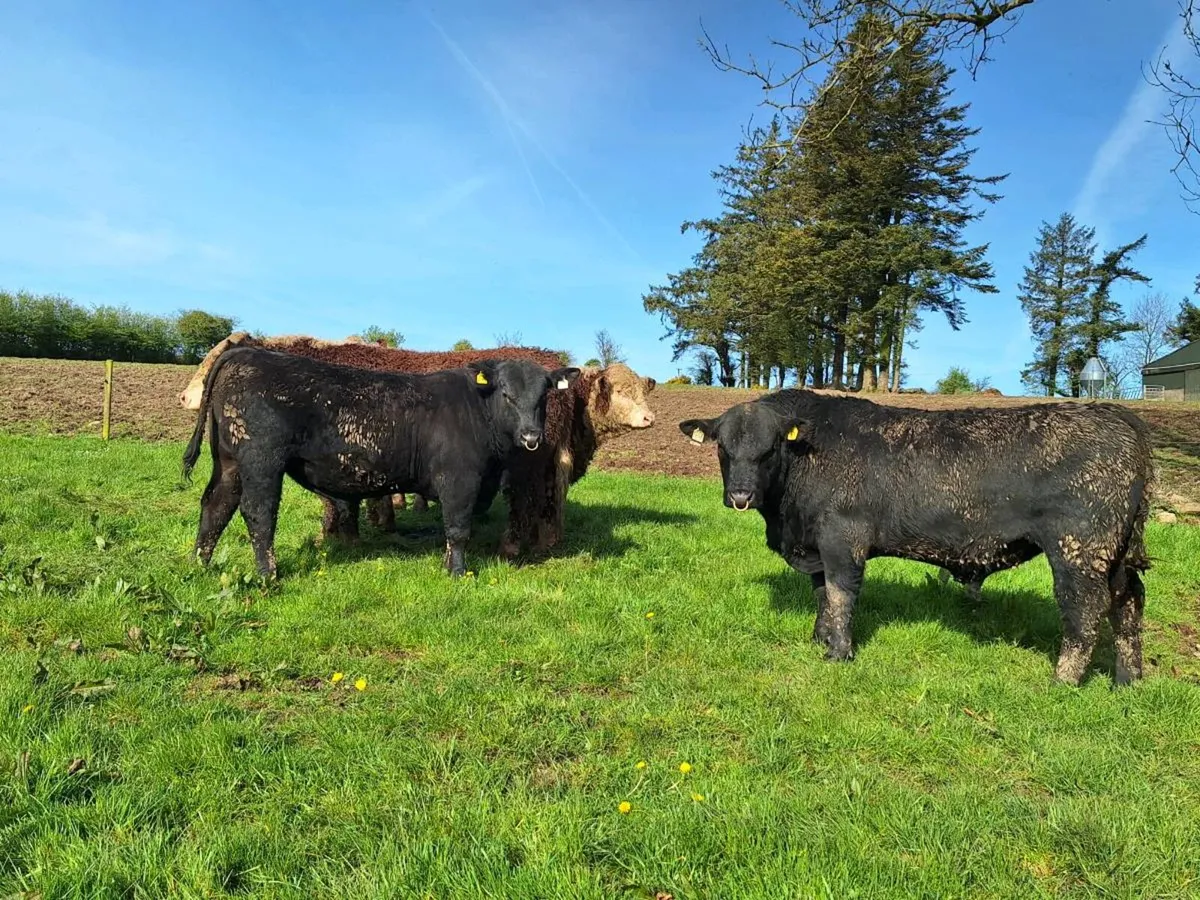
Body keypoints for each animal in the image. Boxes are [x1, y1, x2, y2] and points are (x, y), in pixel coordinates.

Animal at [177, 332, 656, 553]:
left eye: (209, 357)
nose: (183, 397)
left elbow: (340, 503)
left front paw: (343, 536)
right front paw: (361, 531)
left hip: (527, 464)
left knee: (526, 503)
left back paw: (514, 547)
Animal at [680, 390, 1153, 686]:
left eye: (770, 448)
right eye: (722, 447)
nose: (740, 496)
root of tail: (1115, 414)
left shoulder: (842, 540)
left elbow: (840, 595)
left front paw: (838, 652)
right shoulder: (814, 545)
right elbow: (821, 595)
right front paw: (820, 638)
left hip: (1079, 550)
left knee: (1085, 611)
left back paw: (1063, 681)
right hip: (1115, 555)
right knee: (1128, 601)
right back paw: (1128, 679)